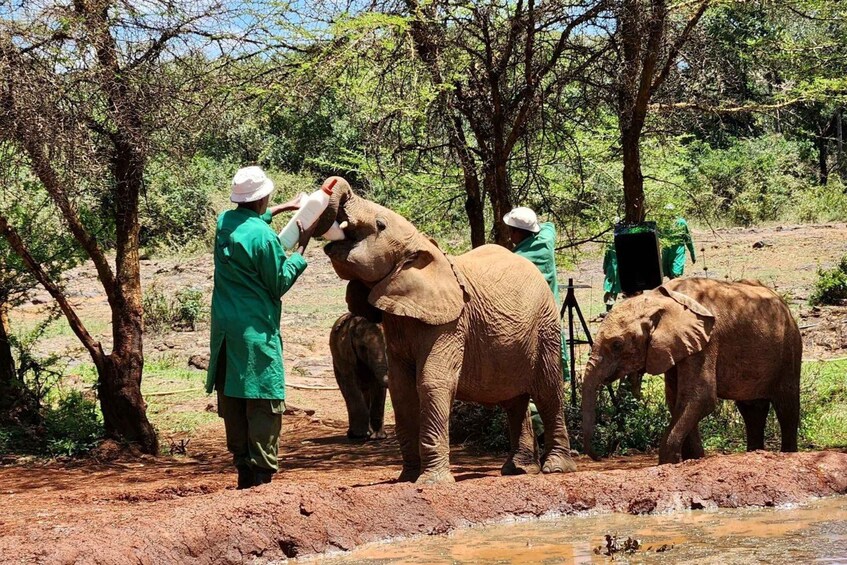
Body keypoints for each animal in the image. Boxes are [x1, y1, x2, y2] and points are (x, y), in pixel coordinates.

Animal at [330, 312, 390, 440]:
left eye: (387, 346)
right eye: (363, 347)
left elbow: (378, 386)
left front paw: (378, 437)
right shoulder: (345, 354)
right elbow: (351, 384)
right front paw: (360, 435)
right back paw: (355, 434)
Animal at [584, 276, 800, 464]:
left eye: (617, 345)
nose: (599, 456)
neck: (658, 299)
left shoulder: (707, 341)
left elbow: (699, 397)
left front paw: (670, 462)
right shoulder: (674, 346)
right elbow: (677, 400)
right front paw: (694, 459)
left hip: (789, 347)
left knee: (786, 406)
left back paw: (787, 453)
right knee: (752, 409)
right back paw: (754, 453)